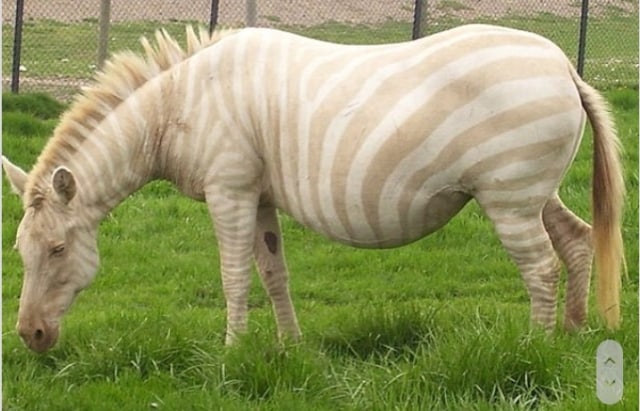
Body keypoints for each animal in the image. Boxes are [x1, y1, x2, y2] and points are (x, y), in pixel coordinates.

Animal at [3, 24, 623, 353]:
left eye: (57, 250)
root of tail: (564, 64)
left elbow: (234, 277)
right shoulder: (258, 196)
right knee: (576, 241)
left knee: (540, 266)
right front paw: (289, 347)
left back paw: (535, 348)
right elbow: (273, 273)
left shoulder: (229, 189)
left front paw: (231, 353)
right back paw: (572, 335)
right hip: (530, 193)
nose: (31, 336)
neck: (178, 107)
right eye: (20, 252)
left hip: (508, 198)